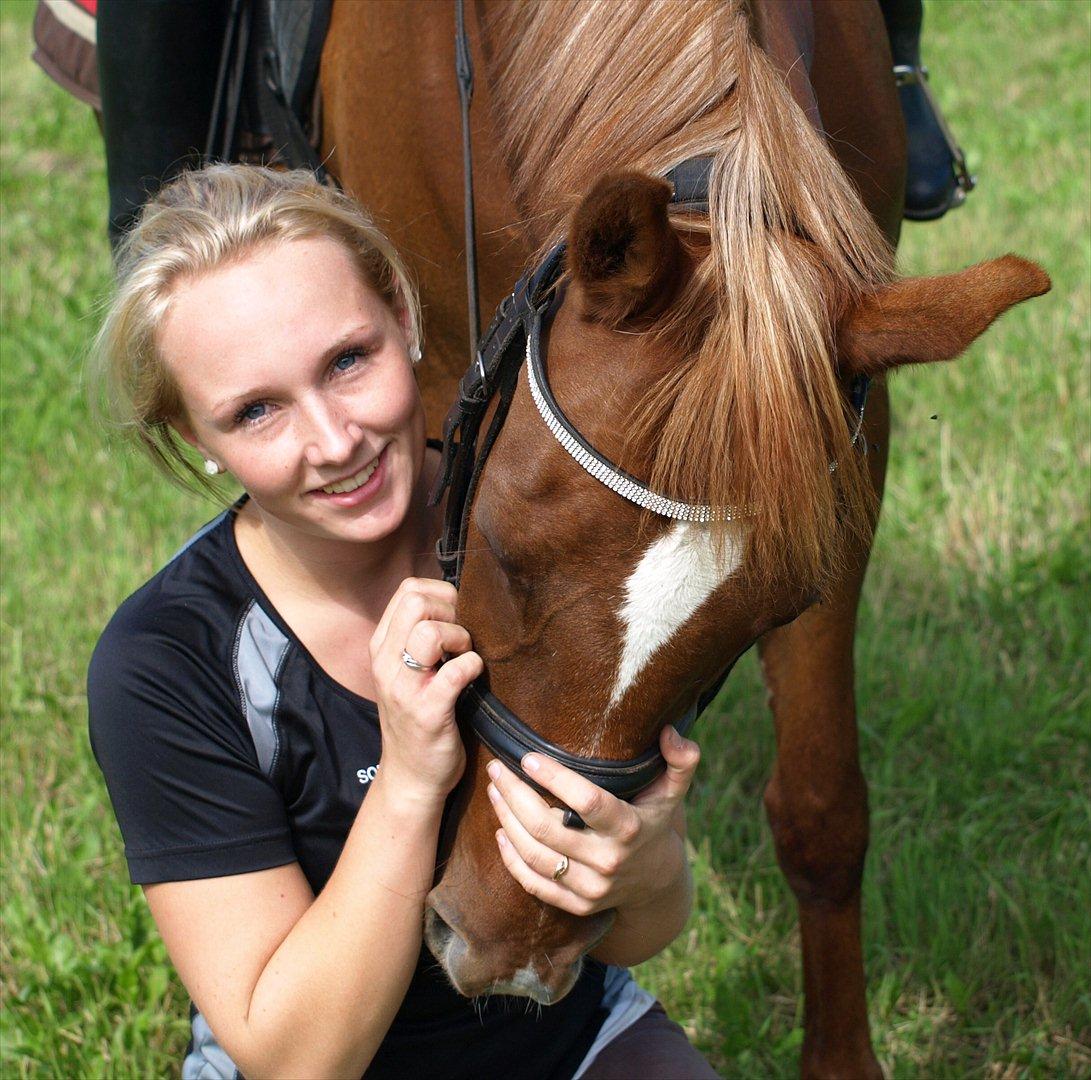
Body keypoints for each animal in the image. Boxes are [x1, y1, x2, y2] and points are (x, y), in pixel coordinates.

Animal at [318, 4, 1042, 1077]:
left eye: (775, 607)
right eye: (496, 549)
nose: (510, 948)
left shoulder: (845, 453)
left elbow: (822, 806)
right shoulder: (440, 369)